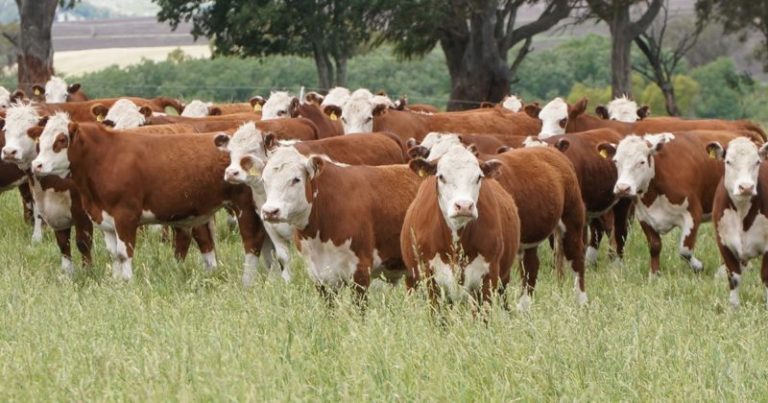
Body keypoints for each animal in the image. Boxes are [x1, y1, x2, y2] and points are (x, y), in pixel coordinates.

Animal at [30, 115, 266, 282]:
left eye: (61, 140)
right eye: (39, 141)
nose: (36, 165)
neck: (104, 158)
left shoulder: (125, 215)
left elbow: (124, 252)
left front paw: (127, 281)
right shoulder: (104, 219)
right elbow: (113, 253)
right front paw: (115, 281)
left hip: (245, 206)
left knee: (252, 242)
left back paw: (247, 280)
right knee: (206, 242)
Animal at [402, 147, 520, 308]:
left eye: (478, 177)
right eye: (441, 177)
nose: (464, 206)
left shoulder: (489, 279)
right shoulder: (430, 279)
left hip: (504, 279)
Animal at [596, 131, 740, 276]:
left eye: (641, 162)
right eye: (616, 161)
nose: (622, 188)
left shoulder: (693, 213)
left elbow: (685, 250)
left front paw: (698, 266)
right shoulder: (644, 217)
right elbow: (654, 246)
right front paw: (654, 274)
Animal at [704, 137, 768, 308]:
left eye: (757, 162)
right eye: (728, 161)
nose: (746, 187)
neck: (742, 213)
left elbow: (765, 277)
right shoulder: (724, 243)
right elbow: (734, 277)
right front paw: (733, 307)